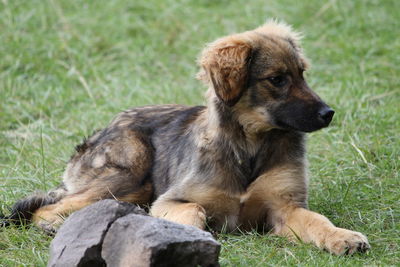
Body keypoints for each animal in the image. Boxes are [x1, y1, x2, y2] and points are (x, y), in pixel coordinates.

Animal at [3, 20, 370, 255]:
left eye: (302, 74)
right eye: (277, 79)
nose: (328, 113)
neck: (249, 146)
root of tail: (101, 130)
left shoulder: (286, 207)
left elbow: (317, 221)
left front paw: (342, 237)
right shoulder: (172, 199)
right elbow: (194, 211)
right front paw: (193, 235)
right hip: (130, 176)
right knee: (48, 209)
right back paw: (55, 226)